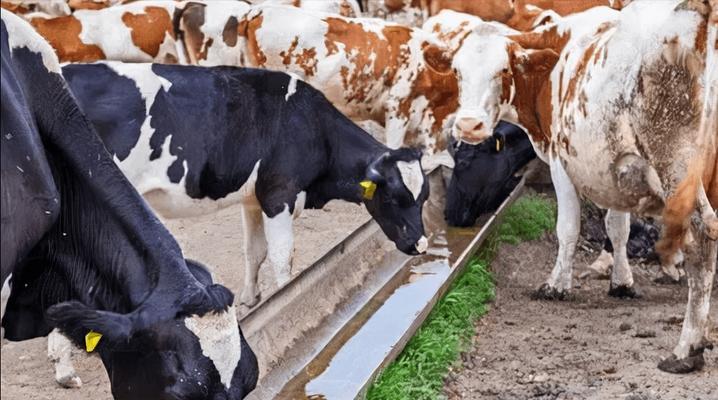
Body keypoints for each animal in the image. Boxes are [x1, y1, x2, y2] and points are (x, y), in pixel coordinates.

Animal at [60, 62, 428, 308]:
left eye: (423, 198)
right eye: (393, 198)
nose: (422, 244)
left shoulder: (253, 198)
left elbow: (255, 251)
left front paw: (252, 298)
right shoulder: (279, 194)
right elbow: (282, 256)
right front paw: (287, 299)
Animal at [452, 0, 716, 370]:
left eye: (503, 71)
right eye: (457, 71)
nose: (468, 125)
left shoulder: (561, 161)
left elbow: (568, 228)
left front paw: (556, 284)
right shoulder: (616, 168)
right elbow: (617, 227)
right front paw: (622, 281)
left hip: (676, 164)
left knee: (702, 236)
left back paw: (687, 347)